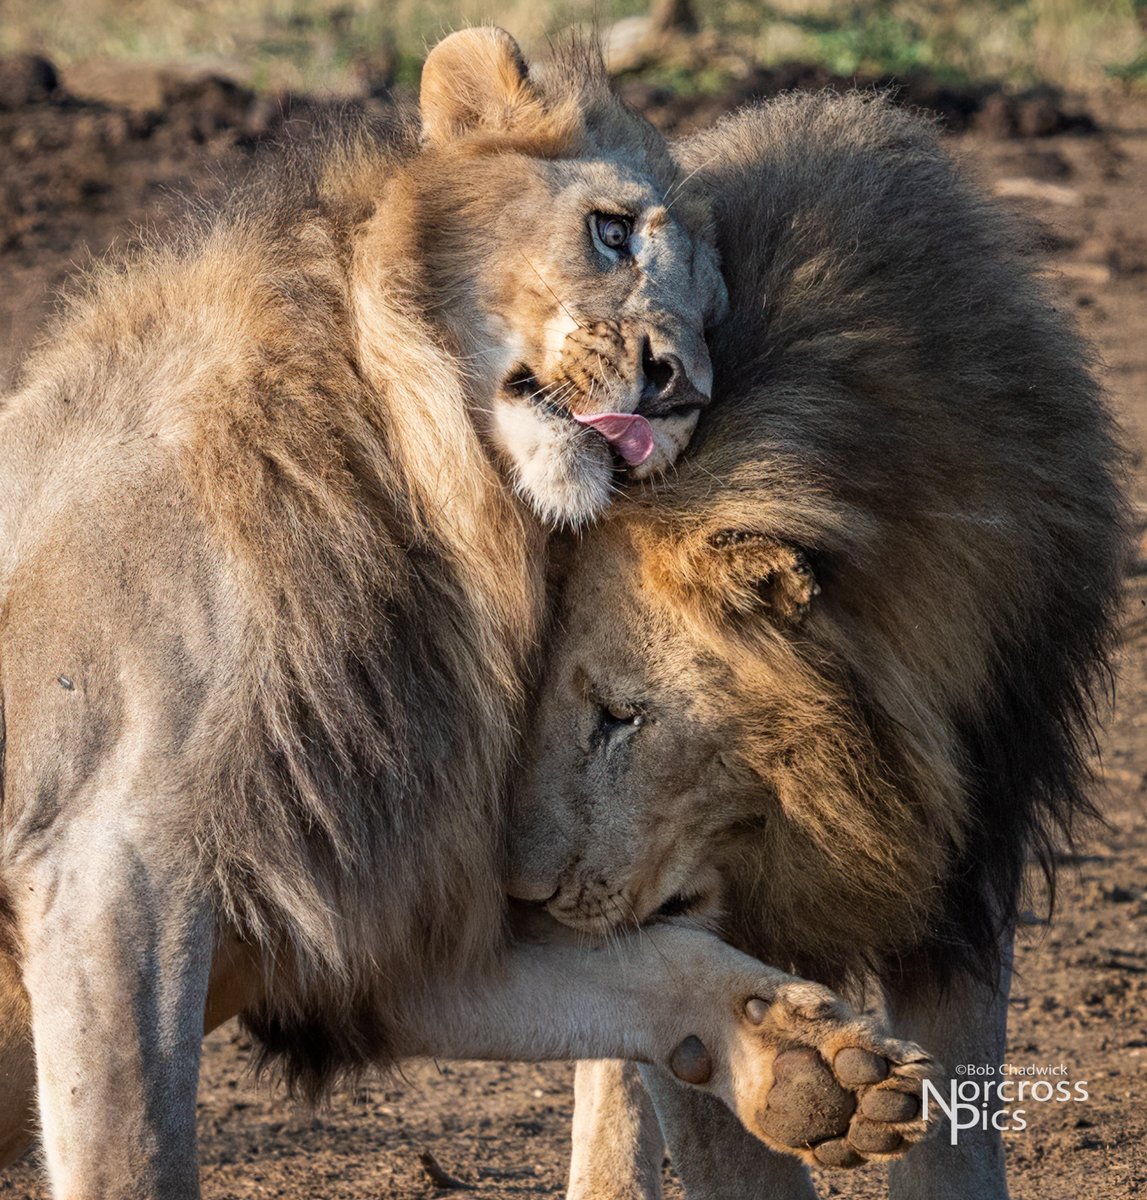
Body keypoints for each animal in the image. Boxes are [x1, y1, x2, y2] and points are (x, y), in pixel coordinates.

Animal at [0, 35, 941, 1198]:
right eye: (612, 232)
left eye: (716, 315)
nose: (677, 388)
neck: (413, 484)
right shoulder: (108, 863)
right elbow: (134, 1150)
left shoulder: (368, 909)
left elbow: (636, 960)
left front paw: (810, 1062)